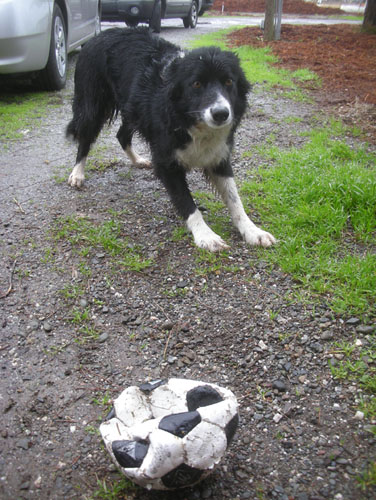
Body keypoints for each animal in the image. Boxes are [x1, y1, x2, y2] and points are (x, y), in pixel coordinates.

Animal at [67, 27, 276, 250]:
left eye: (229, 81)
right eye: (196, 84)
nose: (221, 114)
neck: (188, 119)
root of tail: (99, 34)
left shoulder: (219, 157)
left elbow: (235, 200)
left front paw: (253, 231)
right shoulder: (167, 163)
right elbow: (187, 203)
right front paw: (205, 235)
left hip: (132, 110)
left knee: (121, 134)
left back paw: (137, 160)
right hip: (92, 104)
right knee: (85, 138)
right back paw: (77, 173)